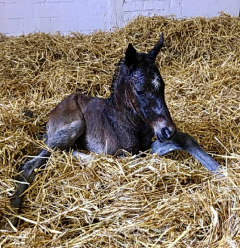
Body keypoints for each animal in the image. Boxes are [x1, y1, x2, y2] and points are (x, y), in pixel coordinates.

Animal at [7, 34, 221, 230]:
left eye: (163, 86)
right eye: (140, 90)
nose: (167, 129)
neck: (128, 122)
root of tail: (55, 110)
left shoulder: (146, 145)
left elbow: (180, 141)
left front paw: (219, 170)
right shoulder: (124, 154)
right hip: (74, 126)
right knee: (31, 164)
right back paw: (11, 218)